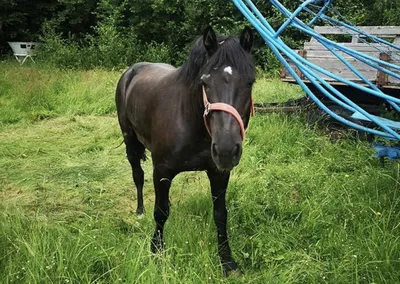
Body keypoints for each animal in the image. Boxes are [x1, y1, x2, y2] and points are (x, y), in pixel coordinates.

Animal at [115, 27, 255, 276]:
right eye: (205, 82)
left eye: (250, 83)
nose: (226, 150)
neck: (189, 120)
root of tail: (131, 71)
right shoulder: (161, 171)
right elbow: (160, 212)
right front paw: (156, 252)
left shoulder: (219, 173)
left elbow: (221, 214)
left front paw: (227, 262)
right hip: (130, 140)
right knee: (137, 175)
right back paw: (139, 210)